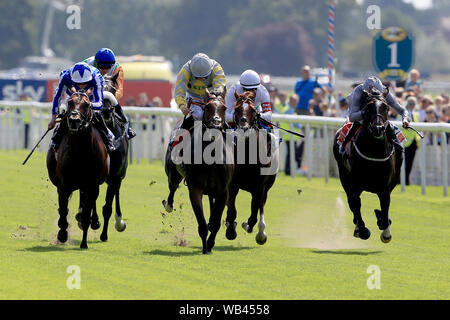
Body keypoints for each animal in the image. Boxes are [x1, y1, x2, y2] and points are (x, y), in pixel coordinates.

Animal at [46, 88, 109, 250]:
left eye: (87, 104)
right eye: (69, 102)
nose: (74, 120)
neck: (80, 153)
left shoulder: (92, 184)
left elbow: (87, 213)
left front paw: (84, 243)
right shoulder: (64, 185)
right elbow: (63, 210)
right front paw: (62, 234)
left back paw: (94, 221)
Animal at [162, 90, 234, 255]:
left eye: (224, 108)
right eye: (207, 107)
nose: (216, 124)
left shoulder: (223, 191)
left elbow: (216, 223)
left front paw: (211, 244)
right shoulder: (195, 188)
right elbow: (201, 223)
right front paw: (205, 247)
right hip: (173, 174)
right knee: (172, 188)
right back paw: (168, 205)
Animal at [225, 90, 278, 245]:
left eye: (254, 110)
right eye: (236, 109)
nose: (243, 127)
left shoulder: (260, 186)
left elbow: (255, 211)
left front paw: (248, 226)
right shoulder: (233, 184)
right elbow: (231, 210)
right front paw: (231, 231)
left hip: (266, 187)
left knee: (261, 206)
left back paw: (260, 232)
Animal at [332, 87, 402, 242]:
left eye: (386, 107)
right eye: (368, 108)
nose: (378, 128)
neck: (374, 151)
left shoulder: (385, 187)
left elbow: (385, 212)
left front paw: (385, 231)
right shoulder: (355, 183)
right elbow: (355, 203)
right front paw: (362, 230)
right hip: (344, 175)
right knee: (352, 202)